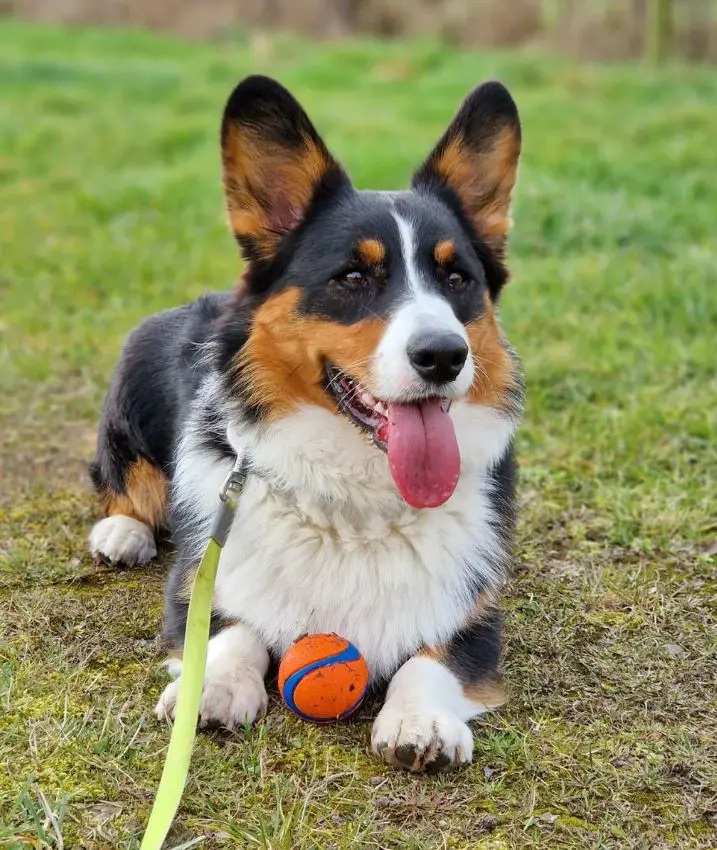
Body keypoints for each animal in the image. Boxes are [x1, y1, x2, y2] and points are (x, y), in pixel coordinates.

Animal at [88, 76, 520, 772]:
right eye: (352, 276)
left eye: (458, 278)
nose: (445, 355)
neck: (357, 501)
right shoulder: (201, 577)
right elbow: (230, 626)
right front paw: (213, 687)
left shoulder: (475, 613)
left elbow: (431, 659)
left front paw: (420, 721)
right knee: (123, 483)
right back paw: (122, 533)